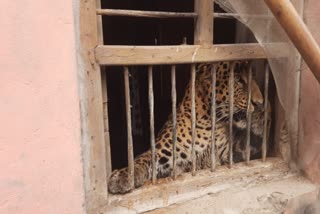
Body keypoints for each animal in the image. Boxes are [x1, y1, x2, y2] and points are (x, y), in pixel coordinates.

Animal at [109, 60, 268, 194]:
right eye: (238, 79)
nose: (260, 103)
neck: (210, 119)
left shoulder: (230, 154)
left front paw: (263, 115)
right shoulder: (165, 153)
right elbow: (143, 159)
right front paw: (124, 176)